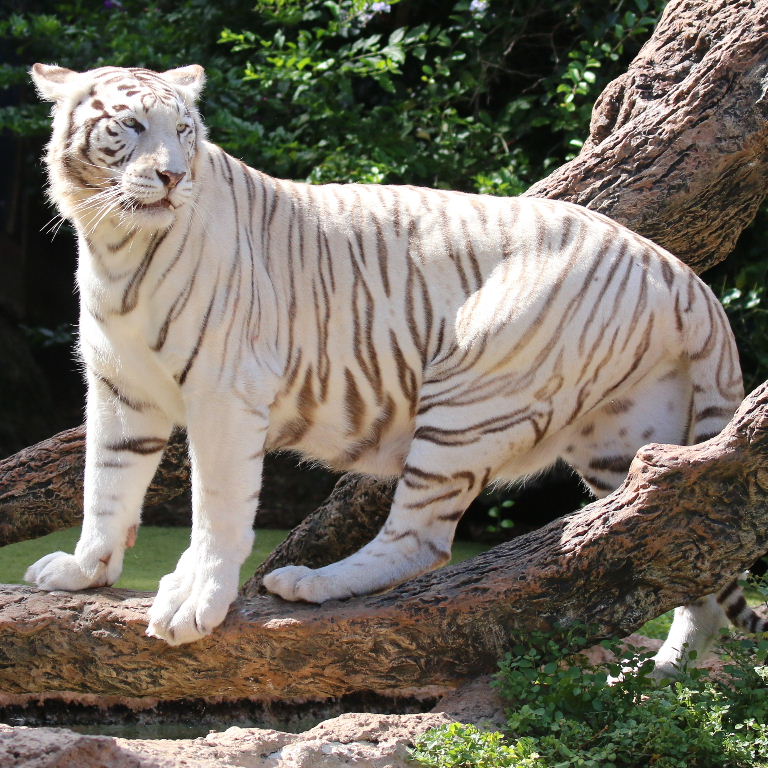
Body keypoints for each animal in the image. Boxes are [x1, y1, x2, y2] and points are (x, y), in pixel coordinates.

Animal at [24, 62, 762, 678]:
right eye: (130, 126)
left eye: (183, 130)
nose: (174, 176)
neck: (116, 243)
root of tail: (684, 275)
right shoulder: (121, 391)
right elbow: (106, 485)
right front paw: (83, 571)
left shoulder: (224, 395)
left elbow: (218, 506)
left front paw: (194, 601)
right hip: (625, 440)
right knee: (684, 551)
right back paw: (666, 679)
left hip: (468, 397)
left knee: (422, 541)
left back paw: (311, 583)